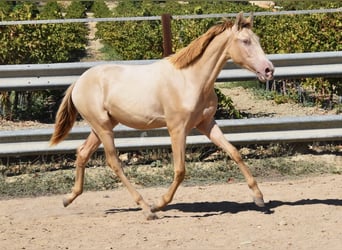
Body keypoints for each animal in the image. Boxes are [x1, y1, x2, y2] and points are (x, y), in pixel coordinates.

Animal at [50, 12, 274, 219]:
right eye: (245, 41)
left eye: (258, 39)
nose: (269, 70)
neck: (190, 79)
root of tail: (78, 82)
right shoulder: (177, 129)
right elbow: (180, 170)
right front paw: (159, 204)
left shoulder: (206, 123)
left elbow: (235, 152)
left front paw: (259, 198)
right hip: (103, 127)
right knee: (114, 162)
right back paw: (147, 208)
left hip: (102, 127)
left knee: (82, 152)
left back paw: (68, 198)